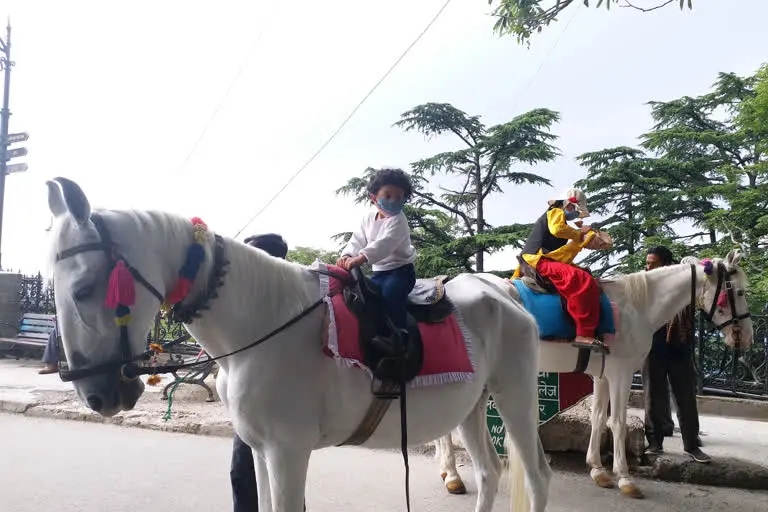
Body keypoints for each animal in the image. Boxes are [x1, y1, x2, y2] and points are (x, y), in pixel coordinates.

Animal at [46, 177, 544, 512]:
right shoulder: (261, 450)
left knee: (537, 476)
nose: (96, 394)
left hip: (516, 397)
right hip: (472, 405)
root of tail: (503, 289)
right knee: (489, 472)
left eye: (85, 289)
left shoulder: (288, 451)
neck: (261, 324)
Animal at [436, 258, 752, 498]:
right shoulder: (622, 373)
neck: (636, 306)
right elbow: (618, 423)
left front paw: (598, 470)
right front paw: (625, 478)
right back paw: (452, 475)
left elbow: (599, 417)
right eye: (737, 293)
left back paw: (448, 471)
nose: (745, 337)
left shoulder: (603, 376)